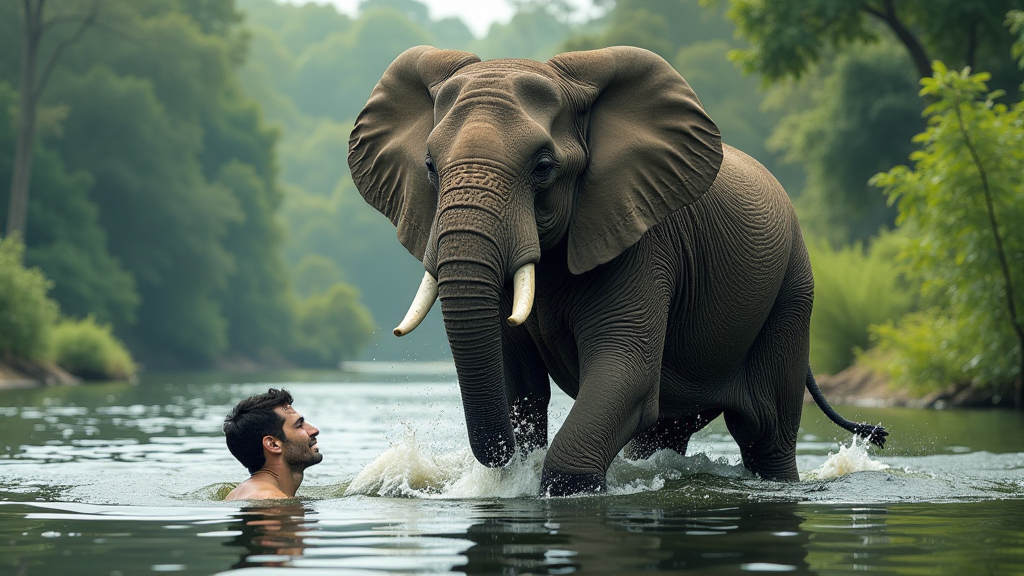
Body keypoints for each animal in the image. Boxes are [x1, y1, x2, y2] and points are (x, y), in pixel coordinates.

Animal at [346, 45, 888, 494]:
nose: (502, 457)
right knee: (663, 432)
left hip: (792, 292)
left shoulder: (645, 243)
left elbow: (624, 369)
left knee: (766, 435)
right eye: (430, 168)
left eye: (543, 167)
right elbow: (516, 377)